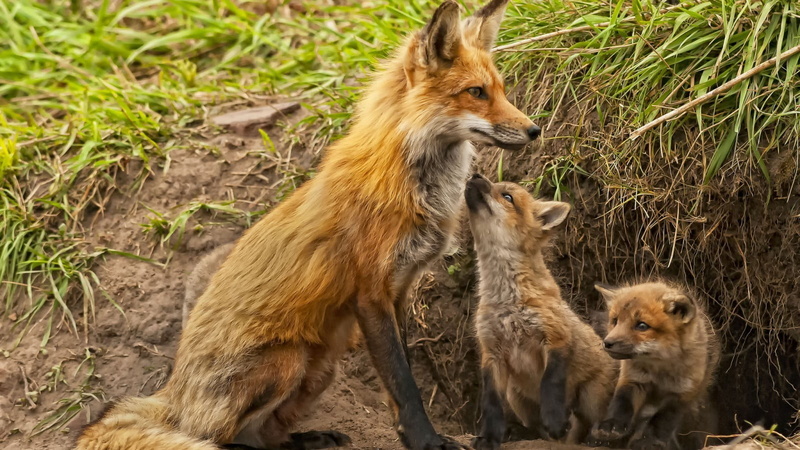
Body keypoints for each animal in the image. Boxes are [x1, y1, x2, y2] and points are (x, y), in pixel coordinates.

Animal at [76, 1, 540, 449]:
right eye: (476, 93)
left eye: (501, 90)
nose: (534, 130)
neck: (411, 181)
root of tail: (173, 391)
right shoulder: (370, 293)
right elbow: (404, 385)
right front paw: (426, 441)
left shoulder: (400, 288)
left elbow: (402, 375)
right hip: (287, 361)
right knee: (219, 436)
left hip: (320, 369)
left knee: (261, 436)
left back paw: (305, 438)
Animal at [465, 174, 618, 450]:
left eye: (507, 196)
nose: (475, 175)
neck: (507, 300)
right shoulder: (491, 352)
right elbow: (491, 403)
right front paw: (489, 437)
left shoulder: (555, 338)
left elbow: (550, 384)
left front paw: (555, 421)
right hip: (516, 397)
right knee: (538, 430)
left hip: (591, 397)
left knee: (588, 426)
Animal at [590, 281, 720, 450]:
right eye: (615, 321)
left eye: (642, 326)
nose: (607, 343)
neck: (659, 369)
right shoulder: (633, 379)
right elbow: (621, 404)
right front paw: (611, 425)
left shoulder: (684, 392)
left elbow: (663, 419)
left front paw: (650, 440)